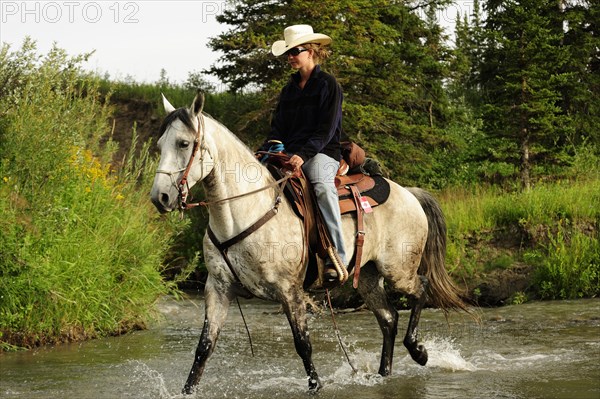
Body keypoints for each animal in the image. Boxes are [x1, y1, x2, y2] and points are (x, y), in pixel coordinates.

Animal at [151, 94, 474, 396]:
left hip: (398, 271)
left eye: (183, 143)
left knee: (421, 289)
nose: (160, 197)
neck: (246, 210)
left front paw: (316, 387)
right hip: (368, 277)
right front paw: (187, 390)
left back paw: (418, 351)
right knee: (388, 318)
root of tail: (408, 192)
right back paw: (384, 374)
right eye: (159, 146)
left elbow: (303, 344)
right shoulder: (218, 288)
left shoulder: (289, 291)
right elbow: (204, 347)